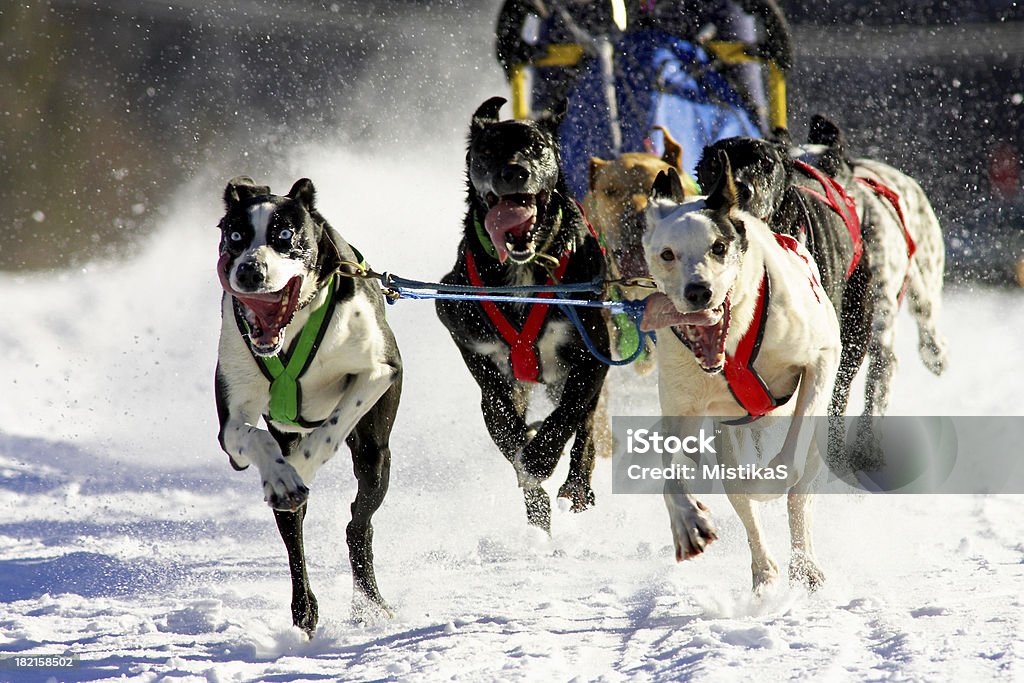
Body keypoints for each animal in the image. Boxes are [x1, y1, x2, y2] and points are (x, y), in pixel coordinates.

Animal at [215, 178, 399, 634]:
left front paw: (305, 461)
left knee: (357, 525)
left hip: (376, 459)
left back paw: (370, 605)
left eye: (285, 235)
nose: (250, 270)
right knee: (293, 532)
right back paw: (305, 607)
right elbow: (255, 439)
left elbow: (333, 427)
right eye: (235, 236)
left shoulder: (381, 371)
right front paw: (284, 475)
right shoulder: (231, 430)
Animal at [434, 97, 606, 532]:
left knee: (585, 427)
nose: (514, 171)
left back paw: (576, 485)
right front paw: (533, 492)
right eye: (488, 150)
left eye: (537, 147)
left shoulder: (592, 356)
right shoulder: (485, 367)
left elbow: (568, 416)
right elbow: (508, 431)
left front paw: (541, 458)